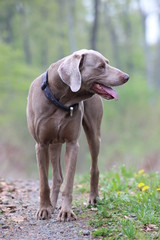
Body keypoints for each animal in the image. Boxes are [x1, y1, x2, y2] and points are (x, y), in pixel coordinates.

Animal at [26, 48, 129, 221]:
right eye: (101, 66)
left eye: (107, 63)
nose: (126, 76)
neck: (60, 99)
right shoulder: (41, 144)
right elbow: (44, 182)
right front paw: (44, 209)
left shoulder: (72, 143)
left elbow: (69, 182)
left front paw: (66, 211)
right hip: (53, 143)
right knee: (57, 177)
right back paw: (52, 205)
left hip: (94, 134)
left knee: (94, 168)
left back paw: (93, 198)